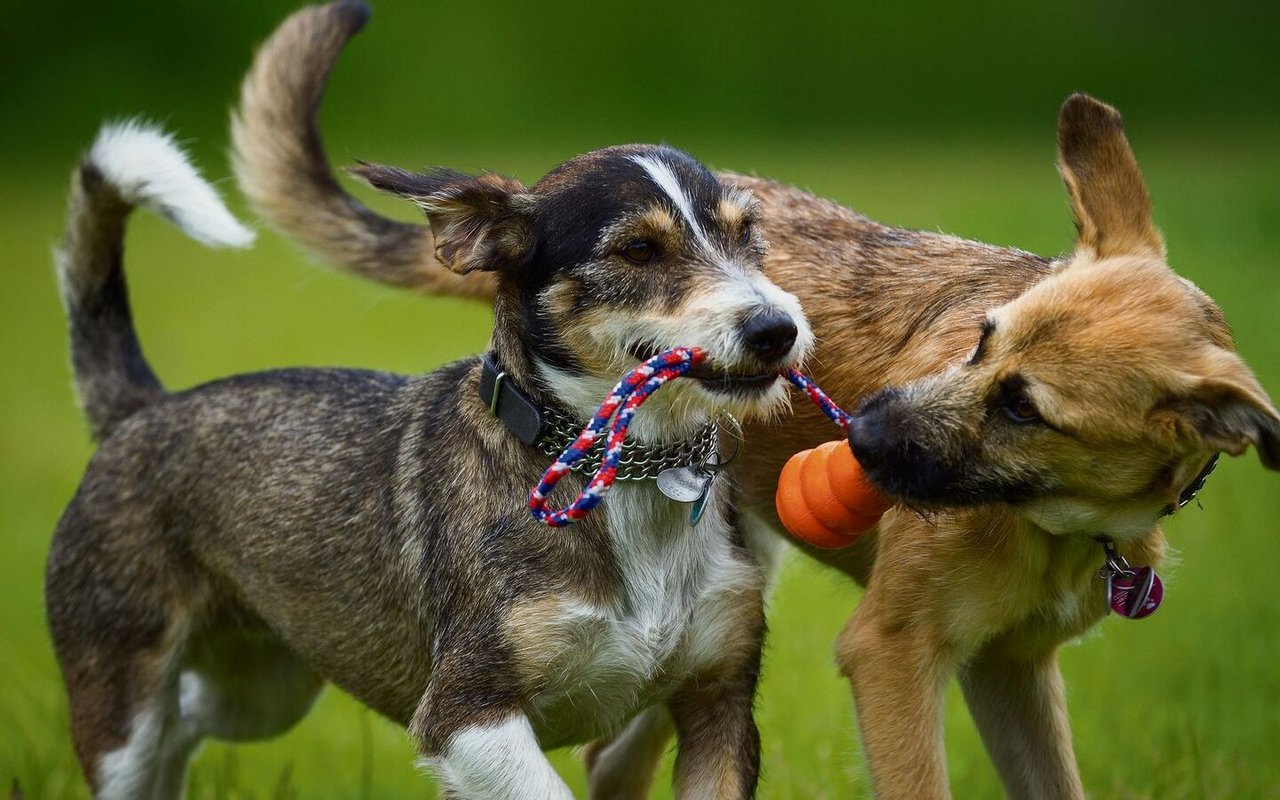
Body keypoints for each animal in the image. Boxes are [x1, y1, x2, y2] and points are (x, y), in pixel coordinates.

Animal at [49, 103, 814, 793]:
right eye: (638, 250)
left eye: (750, 236)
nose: (777, 328)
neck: (627, 472)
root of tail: (143, 409)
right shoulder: (462, 716)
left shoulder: (719, 703)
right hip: (124, 700)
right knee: (147, 740)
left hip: (265, 685)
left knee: (185, 722)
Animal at [227, 3, 1280, 793]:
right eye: (980, 339)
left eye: (1026, 409)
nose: (862, 431)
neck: (1059, 524)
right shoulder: (892, 652)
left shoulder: (1013, 671)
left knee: (617, 757)